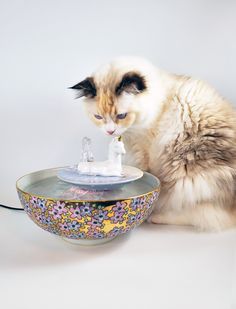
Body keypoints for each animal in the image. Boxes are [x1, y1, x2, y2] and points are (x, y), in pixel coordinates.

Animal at [71, 55, 236, 230]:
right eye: (98, 117)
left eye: (122, 116)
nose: (110, 131)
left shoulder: (143, 153)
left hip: (188, 184)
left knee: (203, 216)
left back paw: (155, 217)